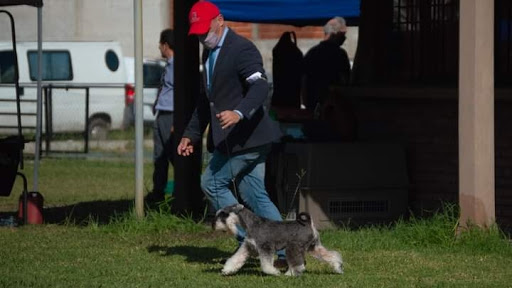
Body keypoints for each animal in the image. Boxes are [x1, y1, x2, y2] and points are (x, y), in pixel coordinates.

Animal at [213, 204, 344, 276]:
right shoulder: (248, 247)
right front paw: (227, 270)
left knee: (298, 264)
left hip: (293, 248)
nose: (213, 224)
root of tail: (308, 223)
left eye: (223, 214)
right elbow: (236, 258)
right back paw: (337, 267)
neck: (252, 224)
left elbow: (266, 264)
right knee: (331, 255)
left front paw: (273, 272)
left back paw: (290, 274)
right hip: (314, 247)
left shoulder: (266, 248)